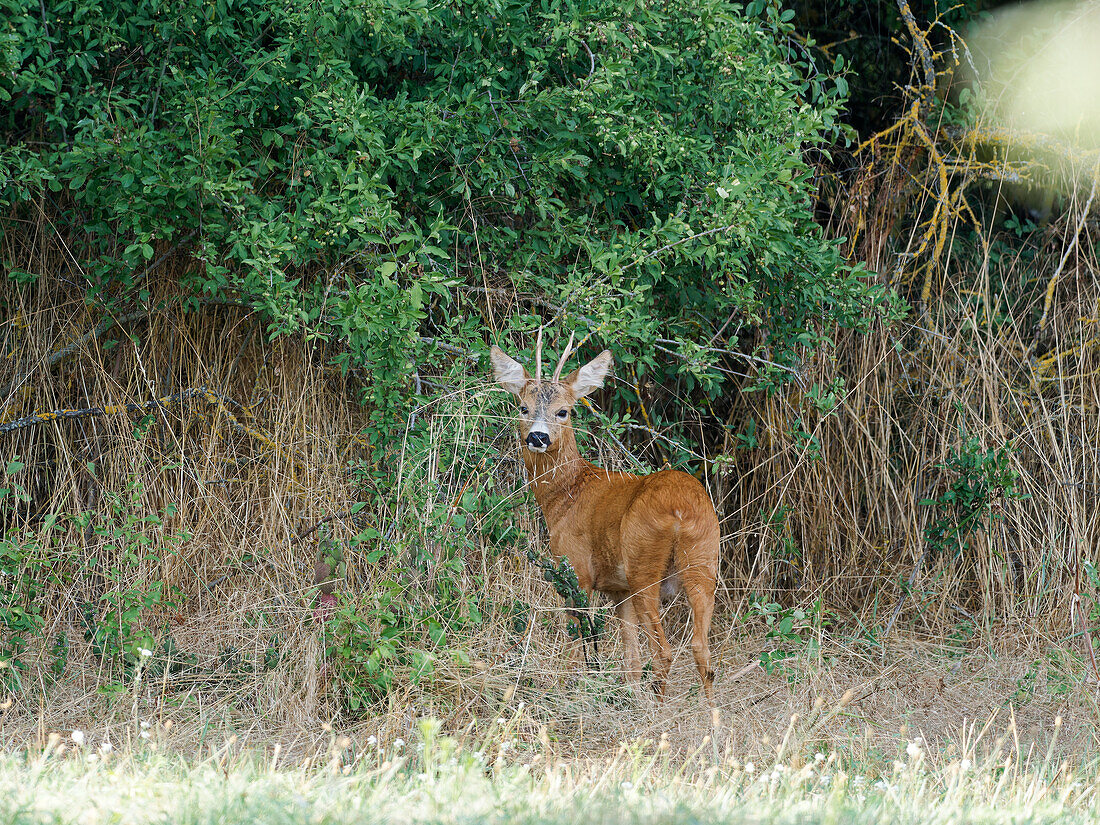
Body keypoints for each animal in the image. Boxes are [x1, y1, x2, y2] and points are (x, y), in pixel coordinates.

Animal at [492, 332, 721, 708]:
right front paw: (630, 697)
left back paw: (660, 710)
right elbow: (630, 659)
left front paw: (566, 693)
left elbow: (575, 644)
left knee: (664, 651)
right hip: (703, 560)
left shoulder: (576, 570)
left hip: (645, 563)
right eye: (523, 407)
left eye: (563, 411)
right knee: (702, 650)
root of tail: (680, 510)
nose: (538, 437)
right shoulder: (619, 589)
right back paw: (710, 714)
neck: (567, 495)